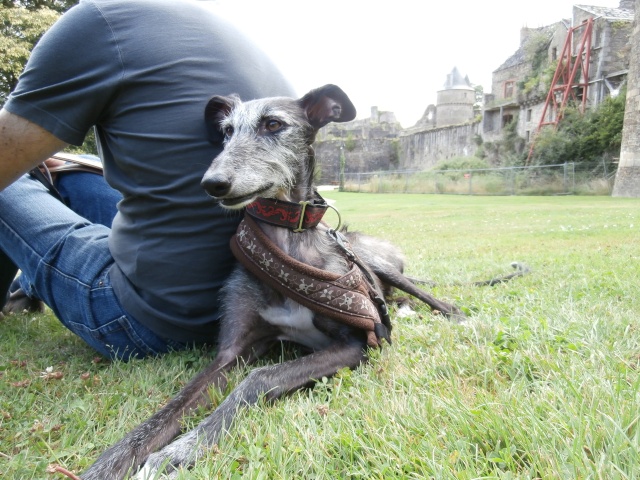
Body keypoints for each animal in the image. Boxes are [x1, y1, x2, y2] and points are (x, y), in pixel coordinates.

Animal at [81, 84, 470, 478]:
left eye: (273, 124)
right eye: (226, 131)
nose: (213, 183)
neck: (287, 244)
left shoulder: (358, 343)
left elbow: (260, 377)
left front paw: (180, 449)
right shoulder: (231, 352)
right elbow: (171, 407)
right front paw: (111, 461)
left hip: (377, 266)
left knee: (430, 297)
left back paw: (453, 314)